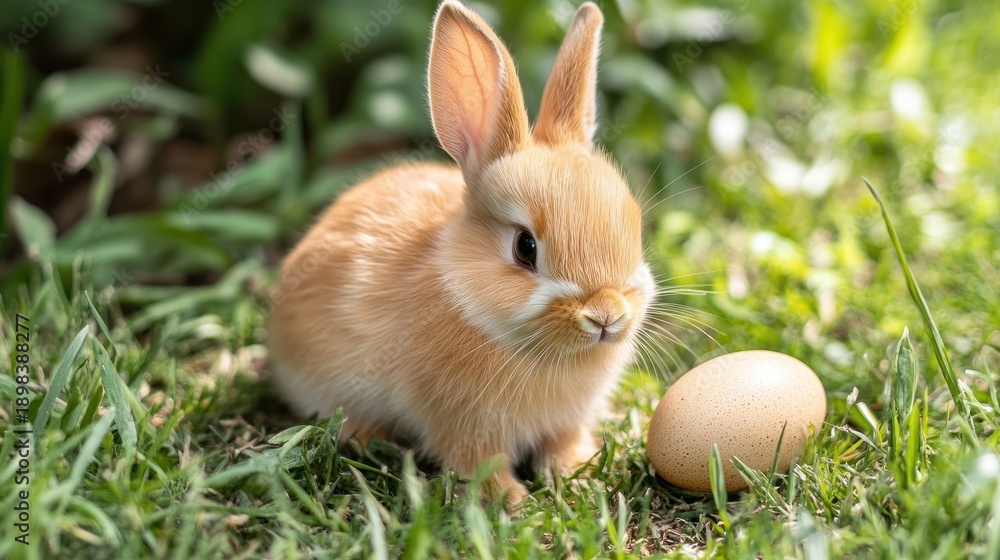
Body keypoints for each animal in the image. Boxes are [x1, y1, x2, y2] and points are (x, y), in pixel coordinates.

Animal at [267, 0, 655, 507]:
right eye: (525, 247)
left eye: (634, 226)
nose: (606, 315)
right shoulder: (460, 422)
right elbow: (476, 460)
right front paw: (510, 499)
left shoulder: (566, 421)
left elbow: (563, 443)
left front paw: (579, 477)